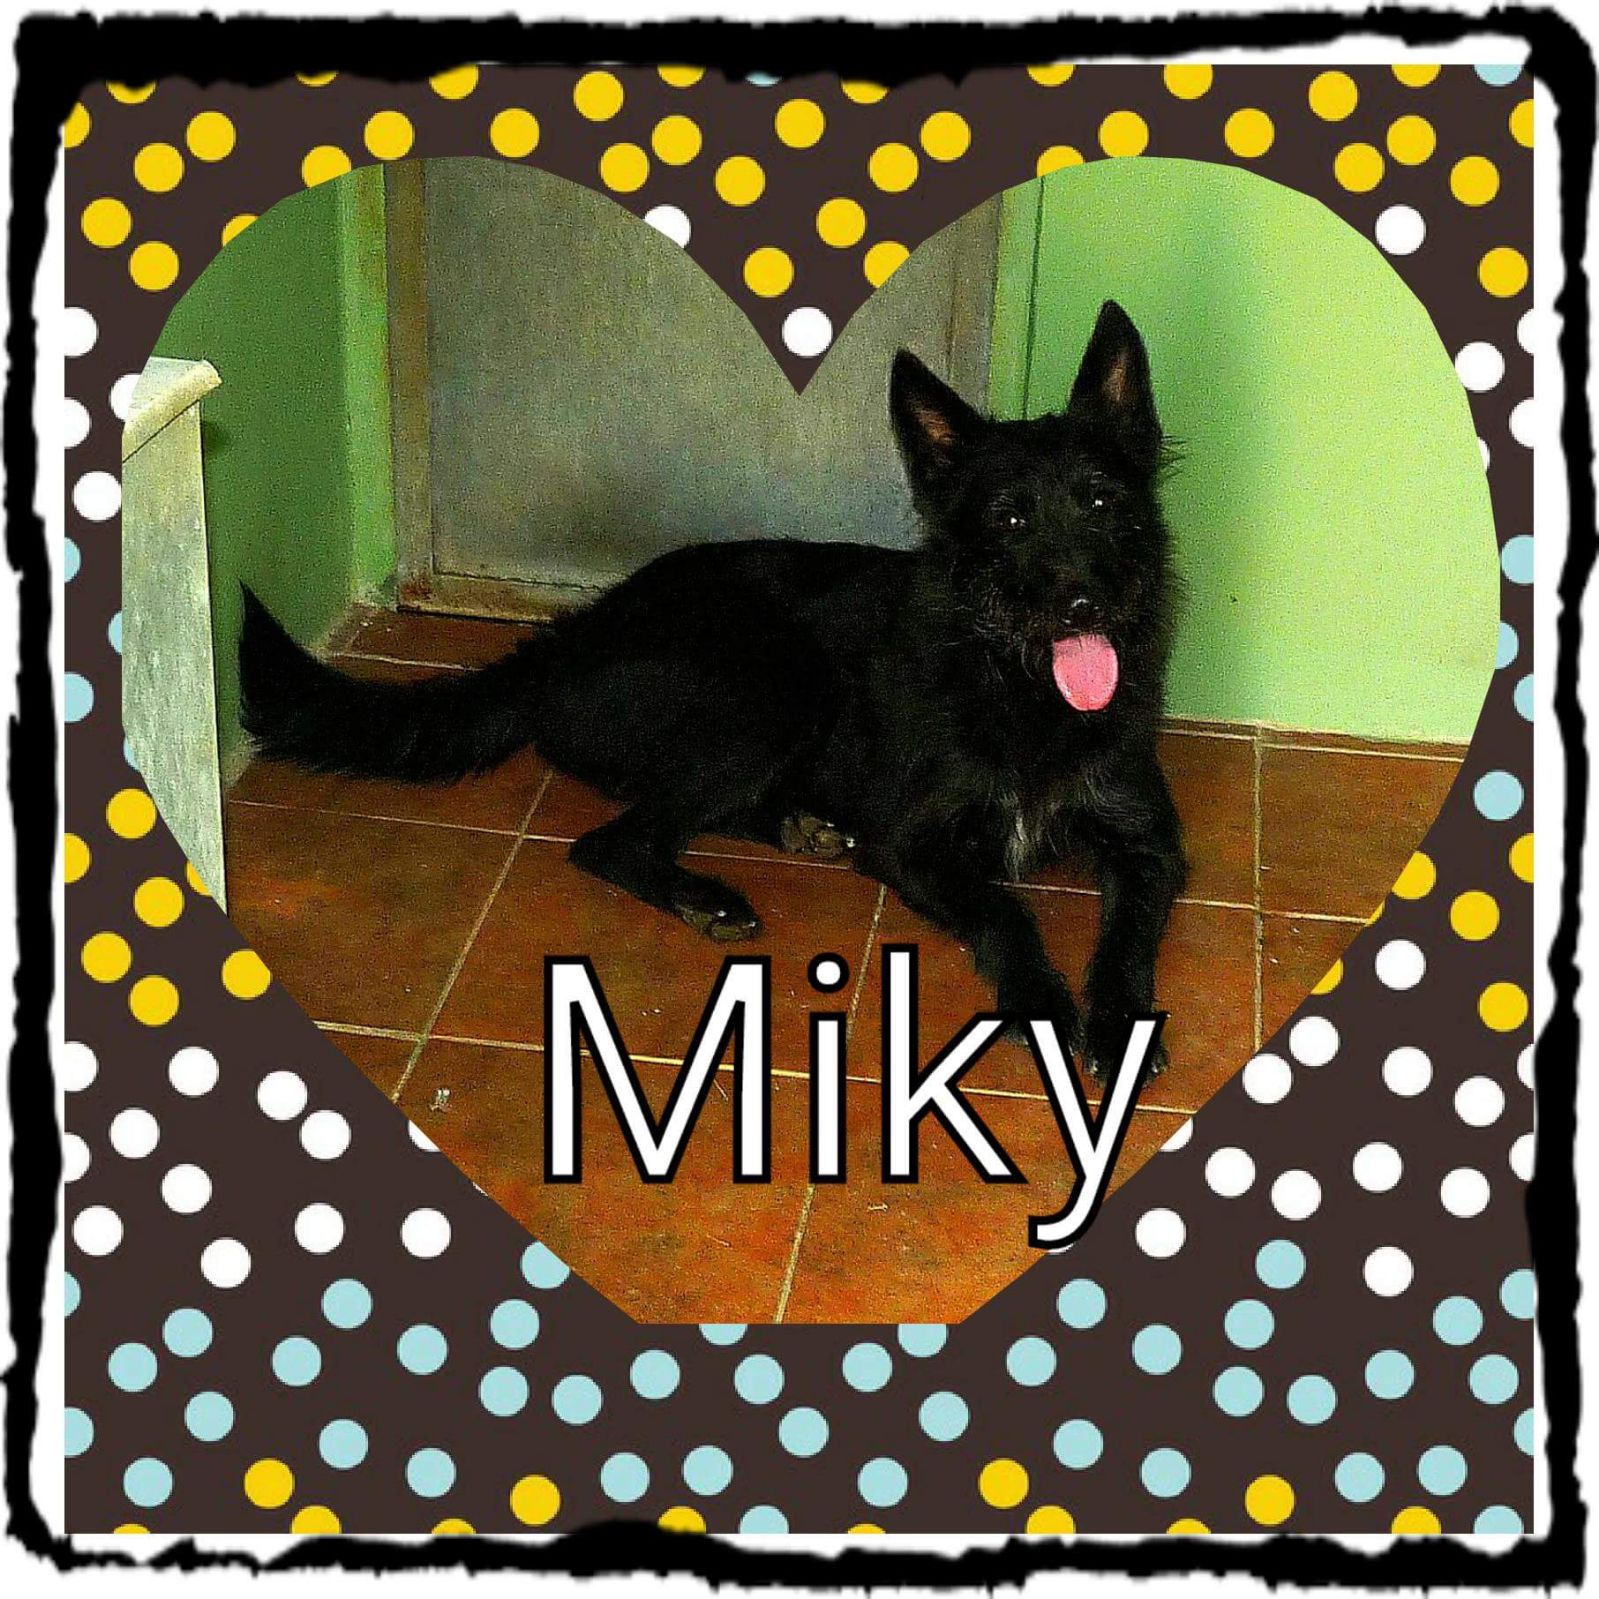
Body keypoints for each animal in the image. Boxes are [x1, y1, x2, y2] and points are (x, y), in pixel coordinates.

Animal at [239, 299, 1188, 1077]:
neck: (1021, 693)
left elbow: (1126, 937)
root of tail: (571, 633)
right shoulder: (914, 844)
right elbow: (1005, 911)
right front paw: (1041, 1003)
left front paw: (1119, 1022)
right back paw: (707, 893)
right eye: (1009, 518)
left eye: (1101, 502)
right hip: (777, 684)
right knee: (613, 840)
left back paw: (795, 826)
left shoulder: (1149, 845)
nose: (1084, 604)